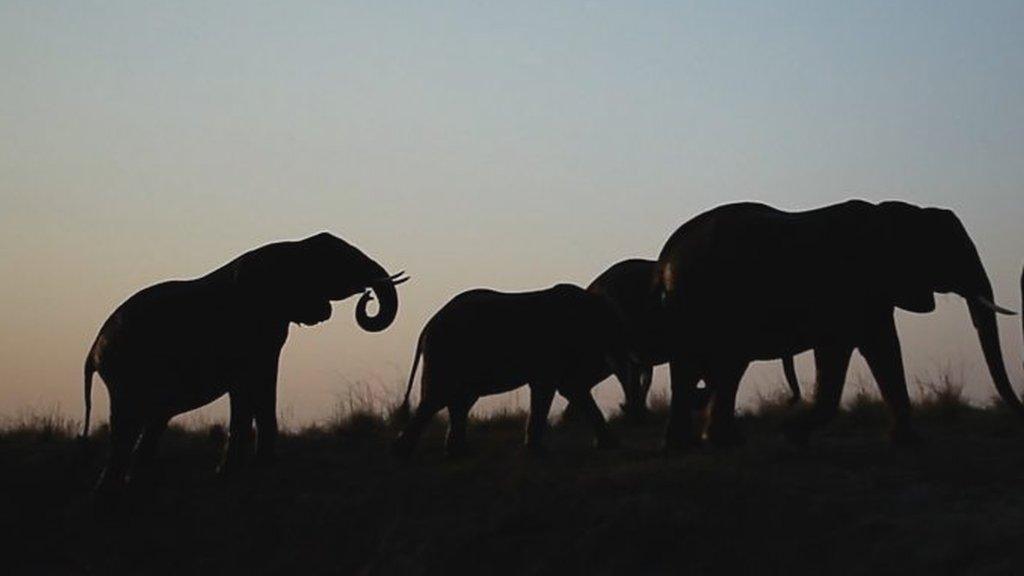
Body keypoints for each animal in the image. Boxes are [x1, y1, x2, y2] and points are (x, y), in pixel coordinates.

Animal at [81, 230, 407, 491]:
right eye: (340, 261)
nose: (368, 296)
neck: (294, 246)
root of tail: (93, 350)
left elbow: (261, 384)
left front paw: (254, 466)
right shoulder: (250, 326)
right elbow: (247, 387)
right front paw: (238, 470)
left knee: (151, 421)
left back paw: (134, 483)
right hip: (125, 371)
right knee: (126, 424)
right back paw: (110, 489)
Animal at [393, 282, 638, 457]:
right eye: (613, 328)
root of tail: (427, 326)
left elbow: (568, 388)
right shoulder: (554, 346)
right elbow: (560, 387)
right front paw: (538, 451)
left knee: (459, 400)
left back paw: (458, 453)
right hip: (446, 353)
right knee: (438, 397)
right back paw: (403, 453)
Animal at [655, 199, 1024, 446]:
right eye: (951, 252)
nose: (1018, 412)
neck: (898, 213)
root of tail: (668, 251)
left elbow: (880, 348)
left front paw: (906, 440)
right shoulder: (853, 288)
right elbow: (851, 350)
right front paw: (792, 433)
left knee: (721, 367)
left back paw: (706, 443)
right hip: (702, 297)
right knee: (710, 364)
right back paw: (702, 444)